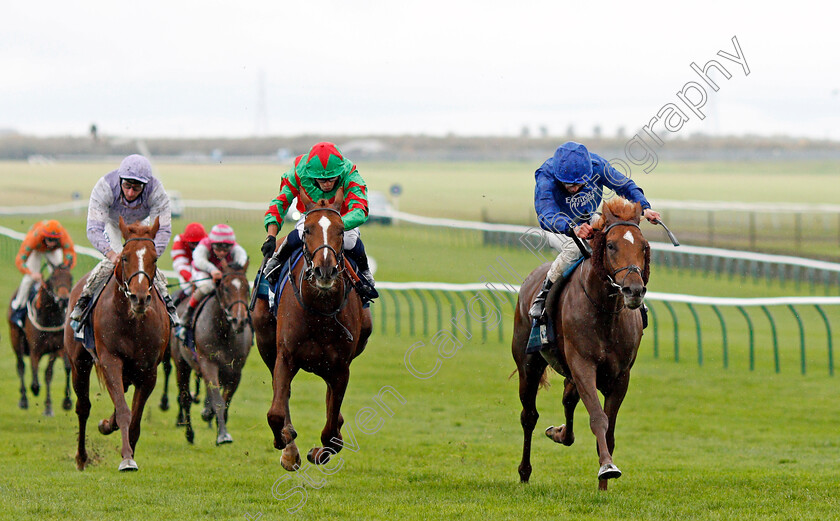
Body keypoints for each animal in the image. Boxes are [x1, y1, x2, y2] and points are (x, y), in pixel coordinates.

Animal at [7, 264, 73, 414]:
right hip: (15, 338)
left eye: (71, 278)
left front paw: (57, 404)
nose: (64, 299)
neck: (49, 317)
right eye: (53, 278)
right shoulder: (35, 349)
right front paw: (35, 390)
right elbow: (34, 373)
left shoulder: (57, 348)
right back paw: (23, 399)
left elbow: (51, 373)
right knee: (21, 366)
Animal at [66, 216, 171, 472]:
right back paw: (82, 457)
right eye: (124, 257)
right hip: (79, 363)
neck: (133, 323)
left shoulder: (148, 371)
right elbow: (124, 411)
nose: (139, 298)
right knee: (83, 407)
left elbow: (135, 418)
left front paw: (128, 450)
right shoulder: (110, 360)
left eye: (154, 258)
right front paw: (126, 458)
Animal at [168, 262, 253, 444]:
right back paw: (189, 433)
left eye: (247, 289)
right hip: (181, 363)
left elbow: (225, 401)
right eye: (226, 288)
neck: (224, 333)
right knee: (185, 398)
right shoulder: (208, 363)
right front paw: (223, 435)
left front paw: (212, 416)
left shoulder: (236, 371)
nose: (239, 320)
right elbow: (218, 400)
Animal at [254, 188, 372, 472]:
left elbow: (330, 431)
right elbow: (276, 412)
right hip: (265, 342)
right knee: (283, 395)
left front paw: (320, 452)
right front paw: (286, 445)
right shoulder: (285, 356)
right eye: (307, 230)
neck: (320, 311)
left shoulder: (340, 367)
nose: (324, 270)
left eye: (340, 230)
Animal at [512, 197, 648, 490]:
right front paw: (607, 468)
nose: (634, 290)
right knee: (529, 416)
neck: (606, 312)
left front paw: (604, 486)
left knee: (567, 398)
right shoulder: (583, 365)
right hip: (528, 363)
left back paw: (560, 433)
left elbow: (609, 430)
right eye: (611, 245)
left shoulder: (620, 376)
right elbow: (598, 418)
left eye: (643, 246)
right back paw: (525, 473)